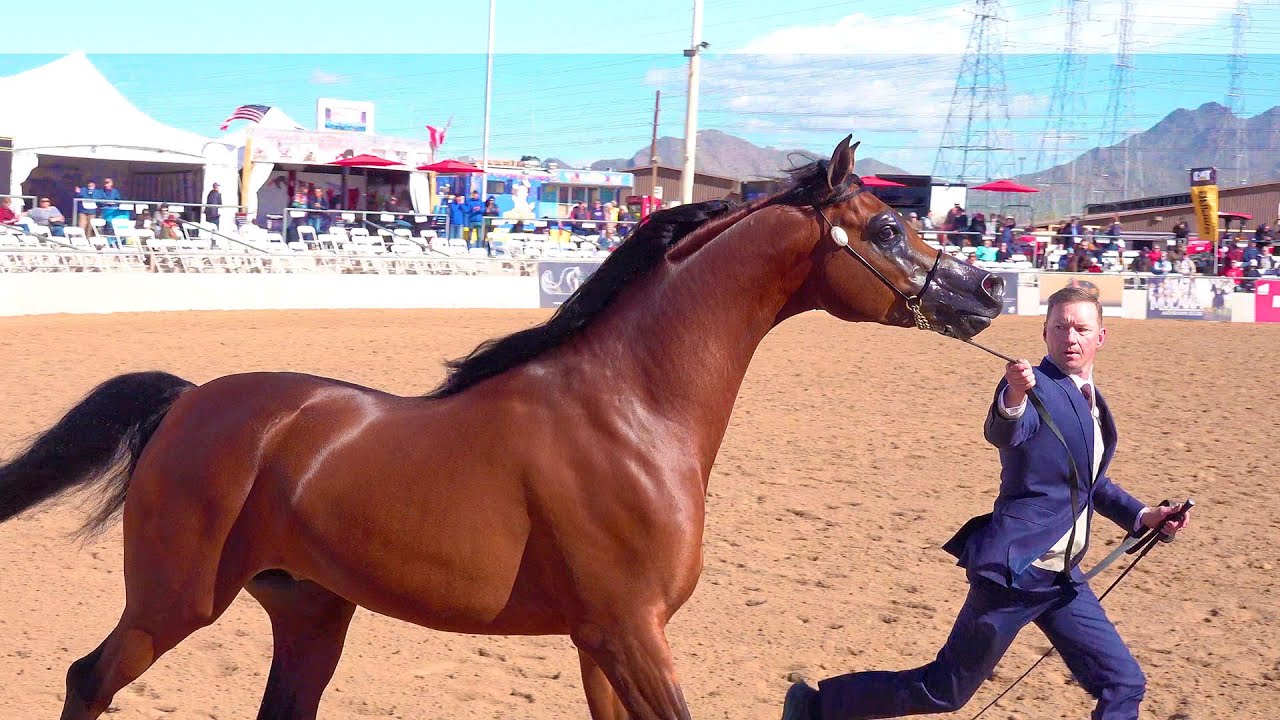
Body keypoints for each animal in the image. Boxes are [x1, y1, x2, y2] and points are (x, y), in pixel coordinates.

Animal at [0, 135, 1005, 720]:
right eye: (884, 230)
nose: (989, 289)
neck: (631, 413)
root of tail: (189, 399)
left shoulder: (604, 643)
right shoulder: (631, 634)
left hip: (309, 612)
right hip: (174, 601)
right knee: (86, 680)